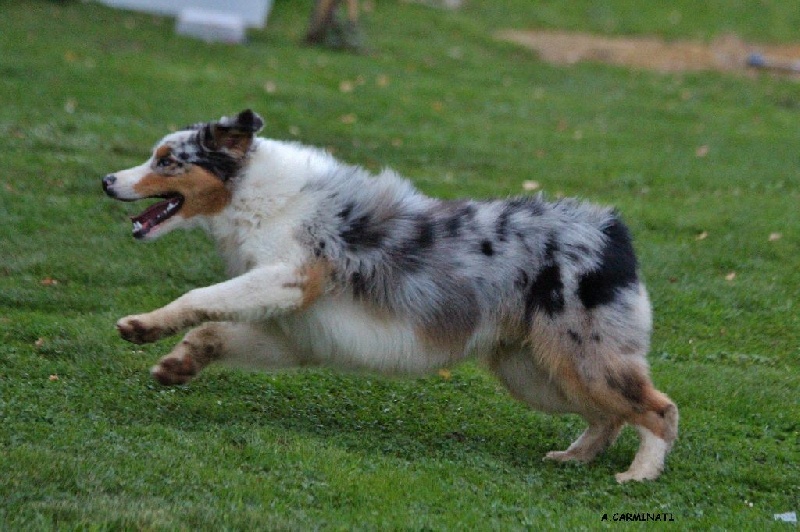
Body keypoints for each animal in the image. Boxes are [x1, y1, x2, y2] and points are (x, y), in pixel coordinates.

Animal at [100, 109, 676, 482]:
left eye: (167, 160)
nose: (106, 180)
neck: (253, 194)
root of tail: (612, 232)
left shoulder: (289, 278)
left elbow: (199, 297)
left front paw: (143, 326)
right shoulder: (295, 333)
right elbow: (214, 331)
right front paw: (177, 365)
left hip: (580, 359)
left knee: (659, 410)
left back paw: (639, 475)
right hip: (536, 372)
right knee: (610, 415)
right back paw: (576, 458)